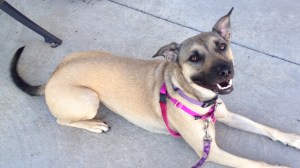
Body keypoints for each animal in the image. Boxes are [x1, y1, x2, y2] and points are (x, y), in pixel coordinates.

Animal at [9, 8, 300, 168]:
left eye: (222, 46)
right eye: (194, 57)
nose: (225, 71)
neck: (197, 97)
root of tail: (53, 76)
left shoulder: (226, 115)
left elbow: (265, 128)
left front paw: (292, 138)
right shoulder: (211, 152)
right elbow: (257, 163)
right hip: (88, 98)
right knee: (62, 120)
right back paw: (94, 125)